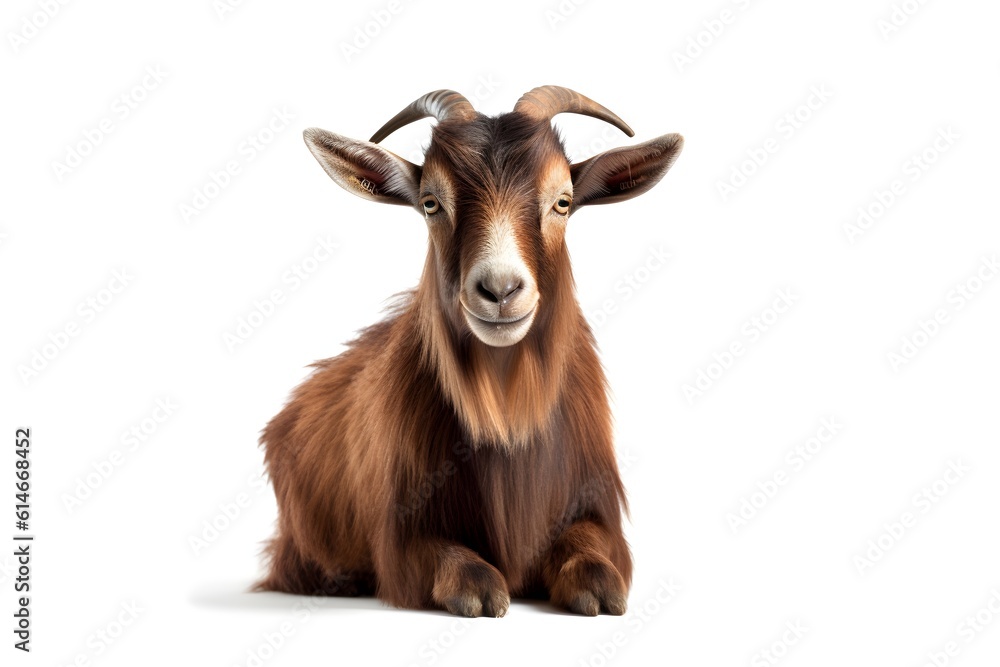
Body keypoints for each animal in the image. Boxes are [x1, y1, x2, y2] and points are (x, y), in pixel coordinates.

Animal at [256, 86, 683, 617]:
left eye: (563, 201)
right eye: (430, 203)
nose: (500, 290)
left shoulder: (595, 507)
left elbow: (596, 553)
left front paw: (597, 586)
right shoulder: (401, 536)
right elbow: (449, 561)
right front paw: (481, 590)